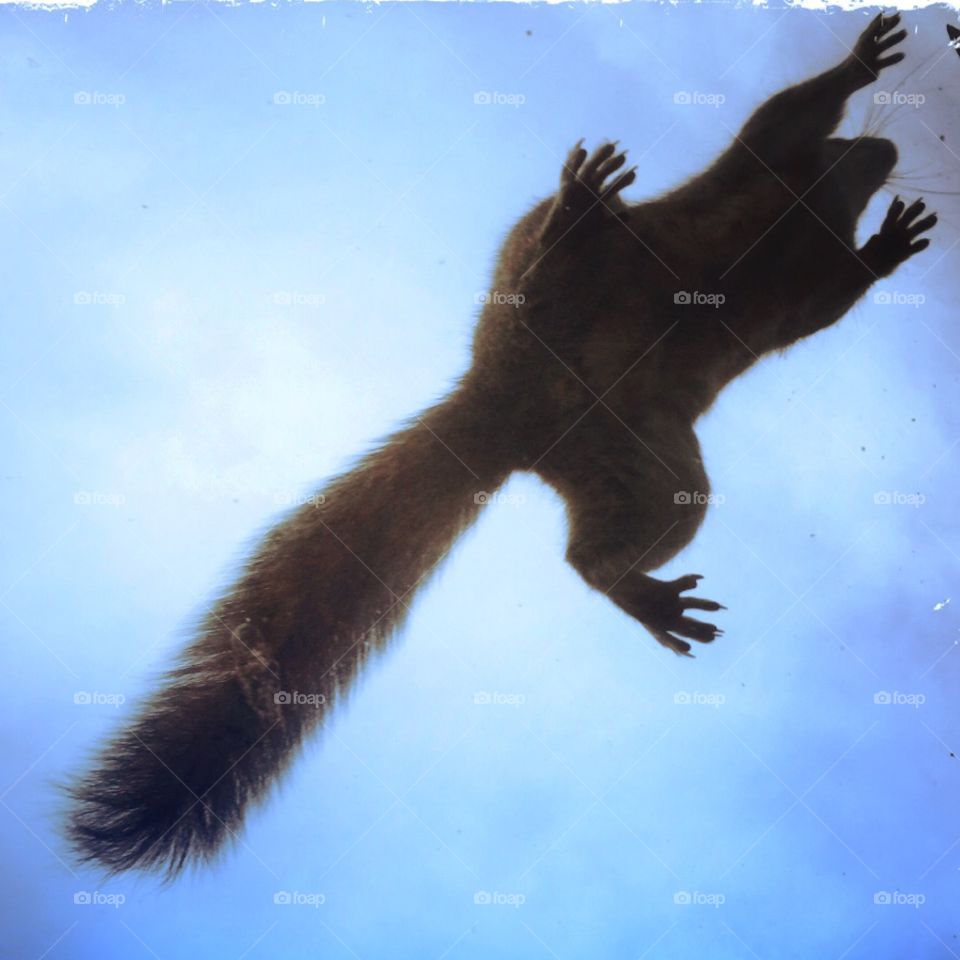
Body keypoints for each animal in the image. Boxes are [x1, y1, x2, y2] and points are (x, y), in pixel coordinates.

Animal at [66, 13, 935, 877]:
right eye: (850, 142)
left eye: (861, 163)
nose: (886, 152)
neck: (807, 208)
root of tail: (508, 406)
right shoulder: (763, 163)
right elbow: (784, 117)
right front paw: (866, 74)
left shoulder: (802, 285)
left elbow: (829, 294)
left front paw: (886, 242)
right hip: (564, 277)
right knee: (554, 268)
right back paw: (576, 212)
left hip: (645, 461)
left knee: (597, 547)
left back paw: (638, 588)